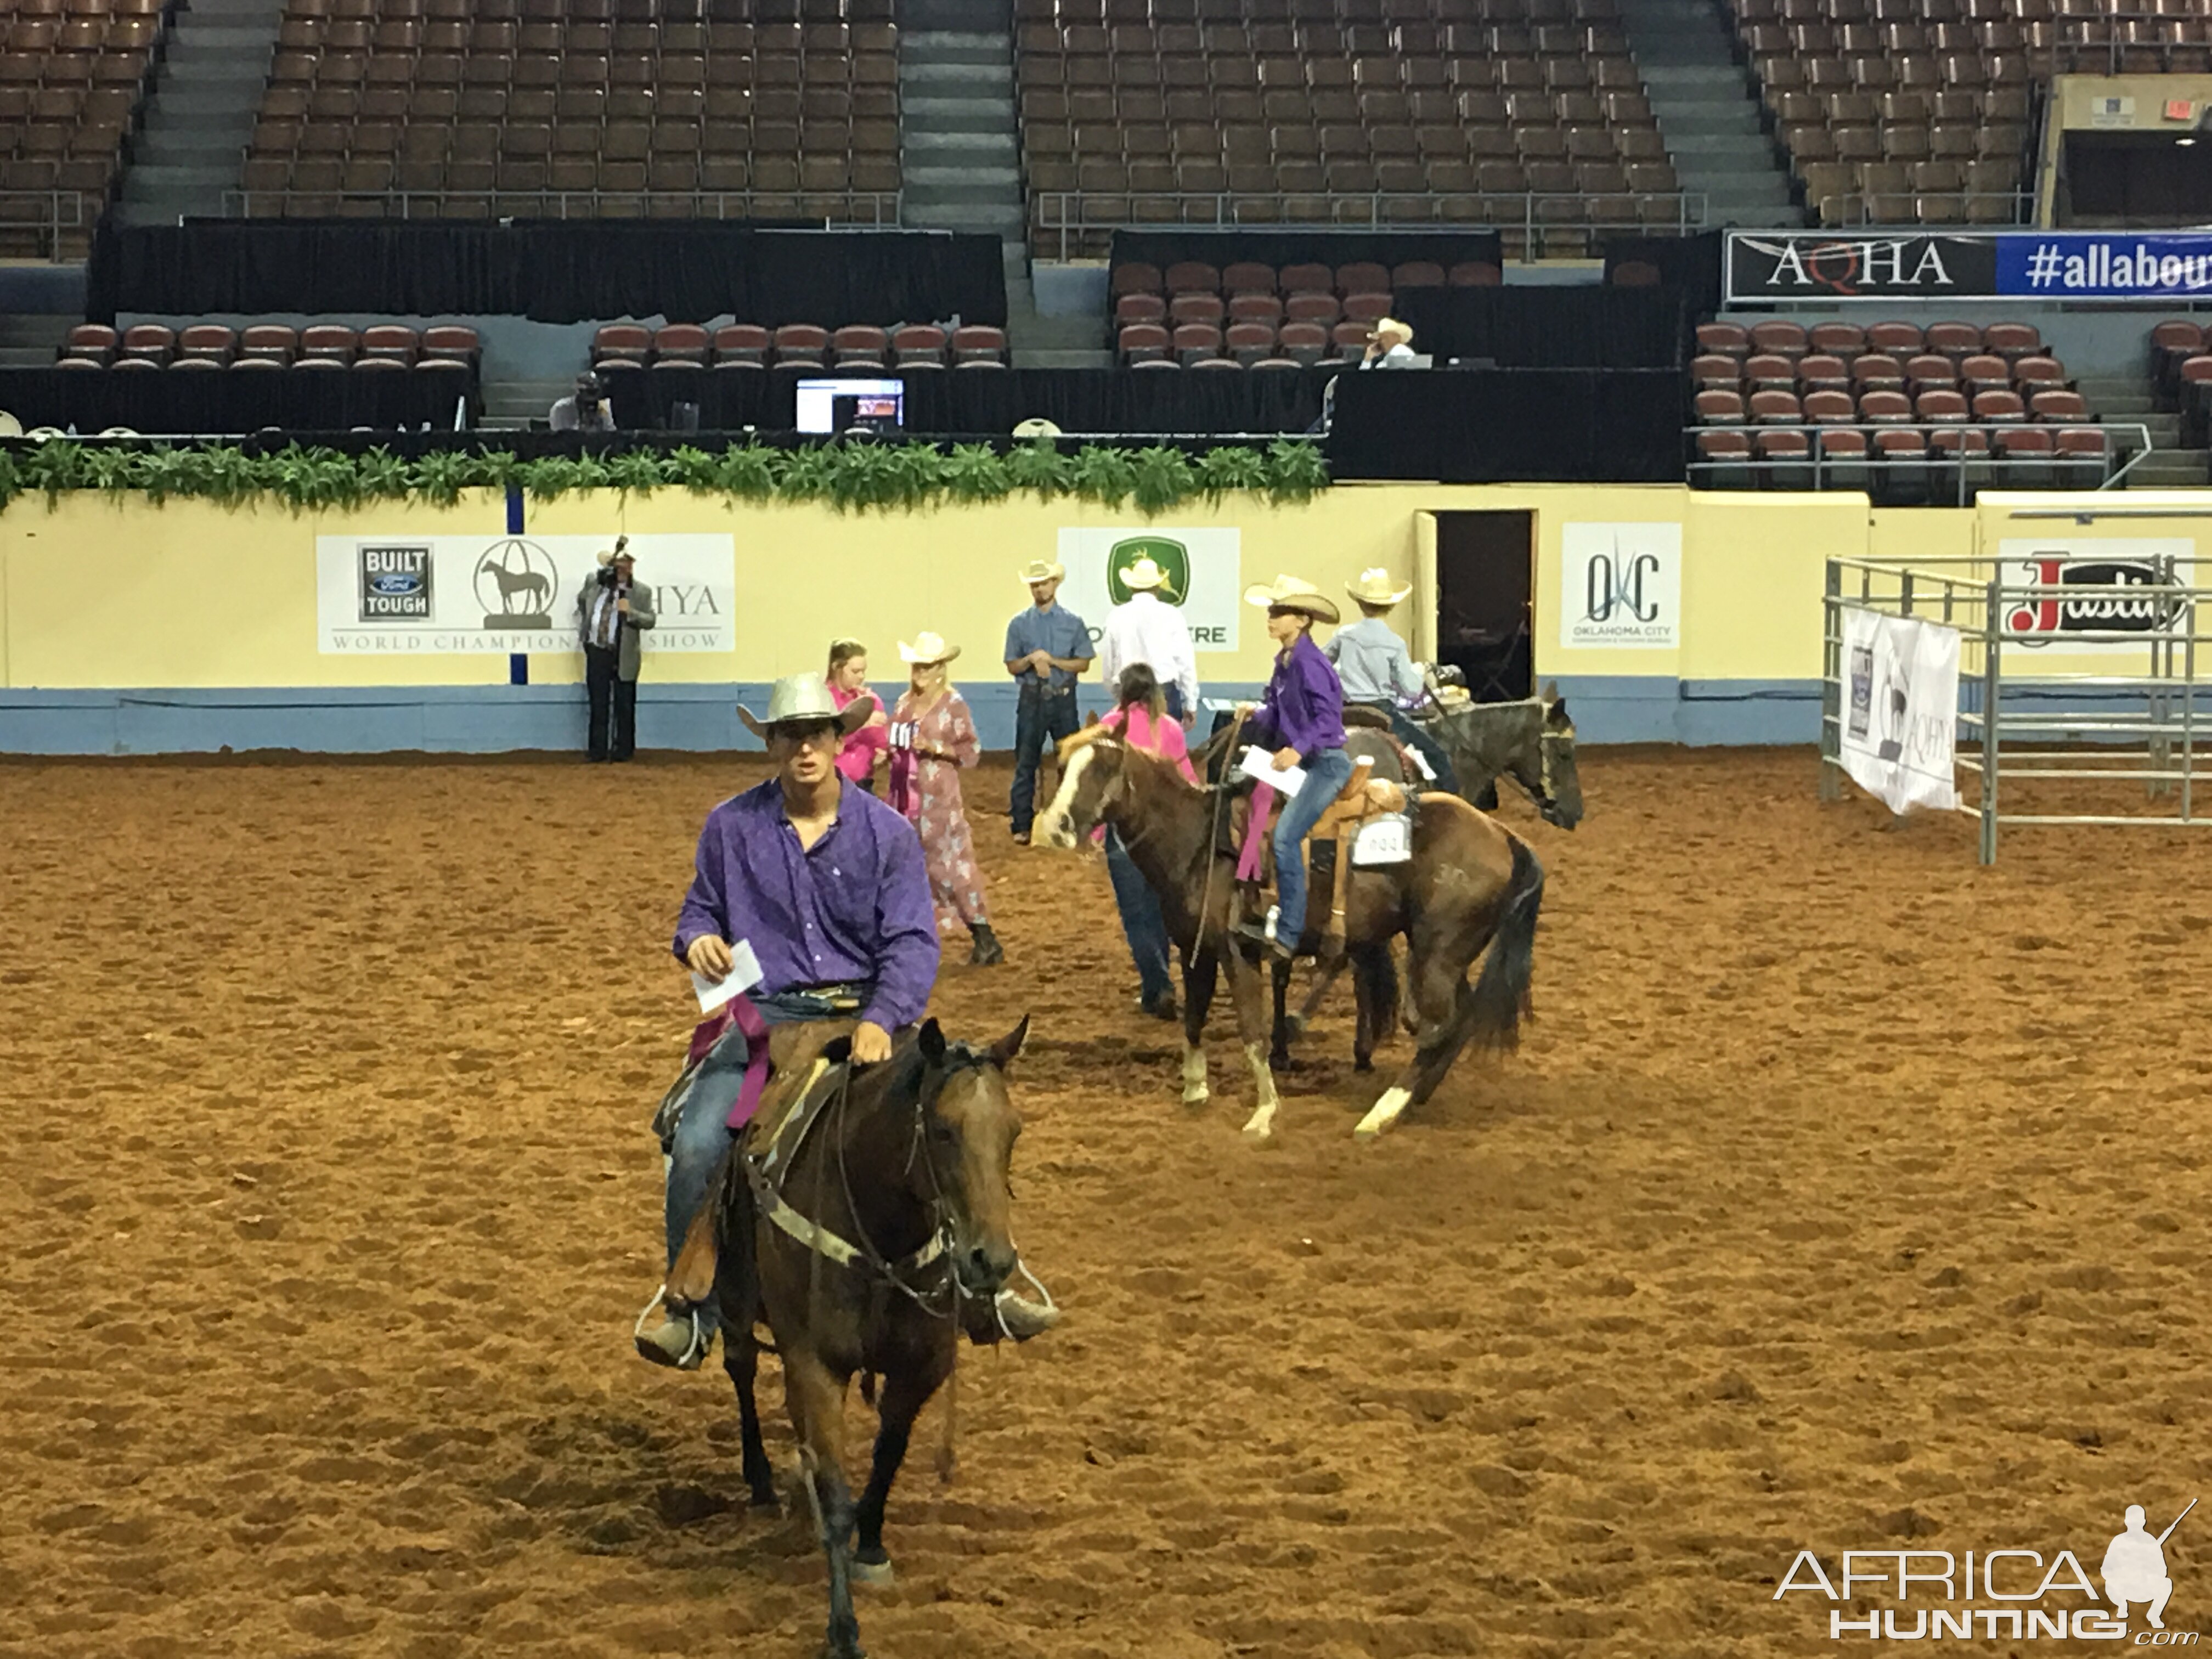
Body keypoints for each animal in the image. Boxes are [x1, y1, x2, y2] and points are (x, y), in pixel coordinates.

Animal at [681, 1013, 1035, 1659]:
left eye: (1012, 1131)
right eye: (942, 1130)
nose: (991, 1262)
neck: (882, 1231)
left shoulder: (922, 1367)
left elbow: (886, 1459)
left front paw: (871, 1550)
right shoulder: (816, 1366)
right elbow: (837, 1491)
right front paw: (843, 1630)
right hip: (738, 1306)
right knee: (742, 1371)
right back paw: (762, 1481)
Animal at [1030, 738, 1539, 1141]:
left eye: (1101, 771)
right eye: (1063, 767)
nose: (1055, 826)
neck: (1202, 842)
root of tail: (1503, 834)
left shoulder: (1237, 952)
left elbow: (1252, 1033)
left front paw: (1264, 1113)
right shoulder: (1196, 950)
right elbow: (1193, 1019)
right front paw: (1195, 1088)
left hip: (1437, 954)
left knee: (1440, 1028)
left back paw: (1382, 1113)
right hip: (1448, 957)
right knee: (1460, 1022)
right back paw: (1414, 1099)